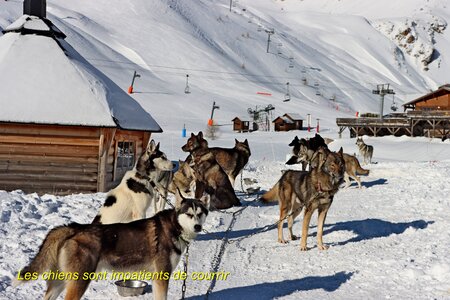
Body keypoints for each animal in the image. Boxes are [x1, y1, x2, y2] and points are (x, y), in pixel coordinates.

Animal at [14, 191, 210, 300]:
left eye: (200, 213)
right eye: (189, 214)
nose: (197, 226)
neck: (174, 227)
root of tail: (74, 227)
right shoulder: (162, 276)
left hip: (60, 281)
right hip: (79, 281)